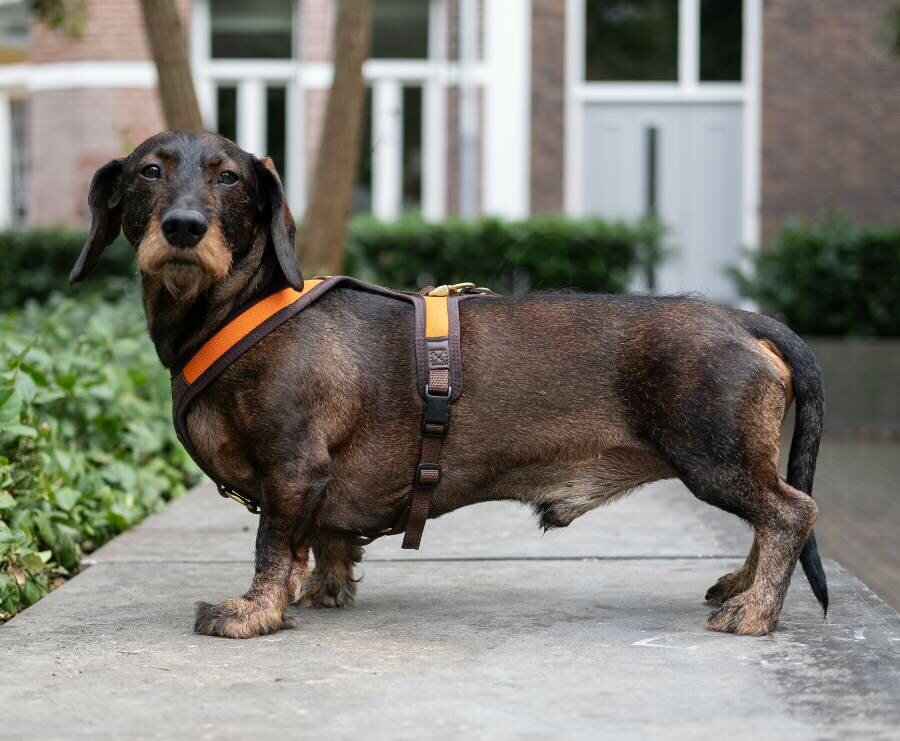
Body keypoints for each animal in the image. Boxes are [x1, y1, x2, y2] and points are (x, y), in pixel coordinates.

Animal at [69, 130, 827, 639]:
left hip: (714, 456)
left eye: (229, 178)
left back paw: (754, 610)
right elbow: (326, 542)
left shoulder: (293, 466)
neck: (241, 309)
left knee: (790, 511)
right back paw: (741, 584)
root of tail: (743, 317)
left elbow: (273, 544)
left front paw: (254, 610)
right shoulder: (318, 487)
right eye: (148, 172)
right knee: (771, 517)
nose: (183, 227)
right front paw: (321, 588)